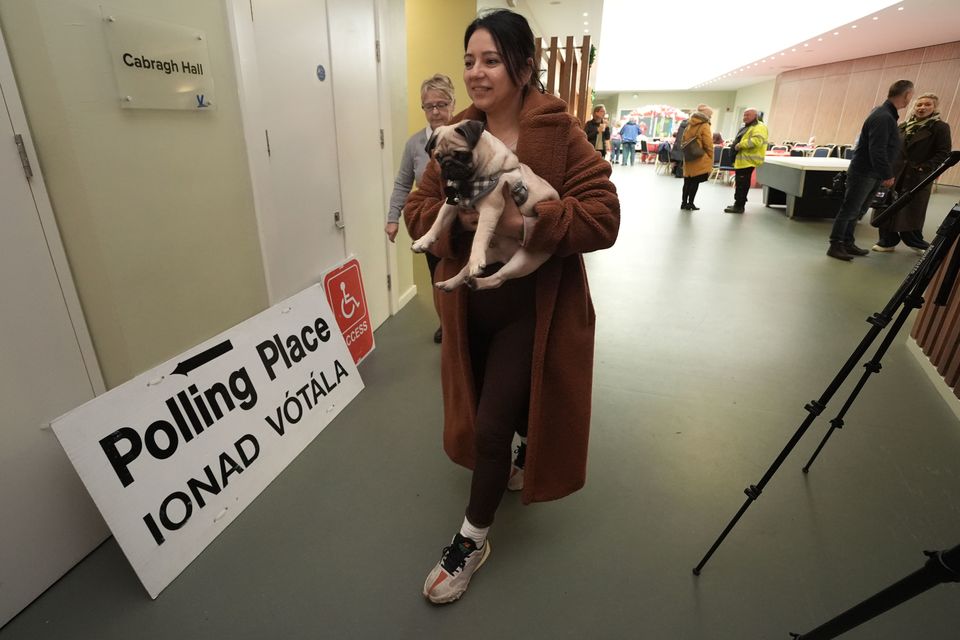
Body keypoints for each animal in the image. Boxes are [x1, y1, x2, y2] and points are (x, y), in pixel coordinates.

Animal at [410, 119, 560, 292]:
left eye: (462, 155)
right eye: (438, 158)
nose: (447, 164)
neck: (469, 182)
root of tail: (505, 256)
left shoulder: (490, 209)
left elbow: (479, 235)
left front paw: (476, 258)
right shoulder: (450, 204)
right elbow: (437, 223)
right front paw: (423, 241)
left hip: (524, 260)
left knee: (499, 278)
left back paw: (477, 278)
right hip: (490, 254)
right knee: (465, 271)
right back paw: (450, 283)